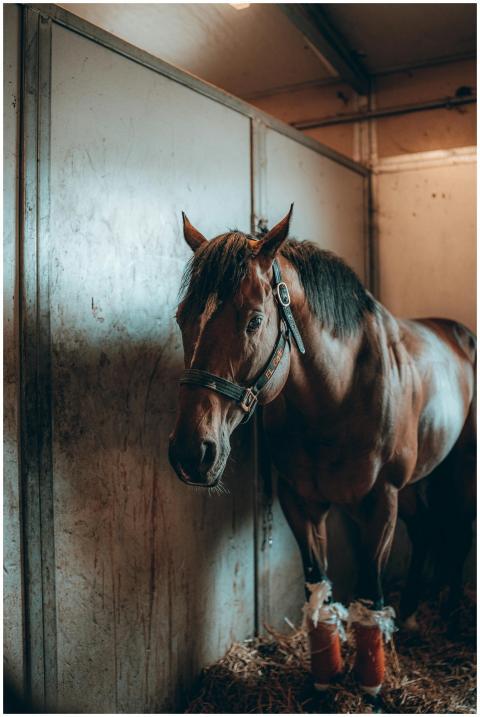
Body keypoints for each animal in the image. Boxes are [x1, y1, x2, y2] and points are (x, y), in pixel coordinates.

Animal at [168, 207, 476, 698]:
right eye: (182, 317)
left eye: (254, 321)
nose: (191, 452)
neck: (338, 393)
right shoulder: (301, 502)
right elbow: (318, 591)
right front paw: (324, 683)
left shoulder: (379, 503)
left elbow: (369, 595)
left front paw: (371, 690)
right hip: (414, 483)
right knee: (428, 530)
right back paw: (410, 616)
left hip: (459, 468)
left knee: (457, 534)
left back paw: (447, 619)